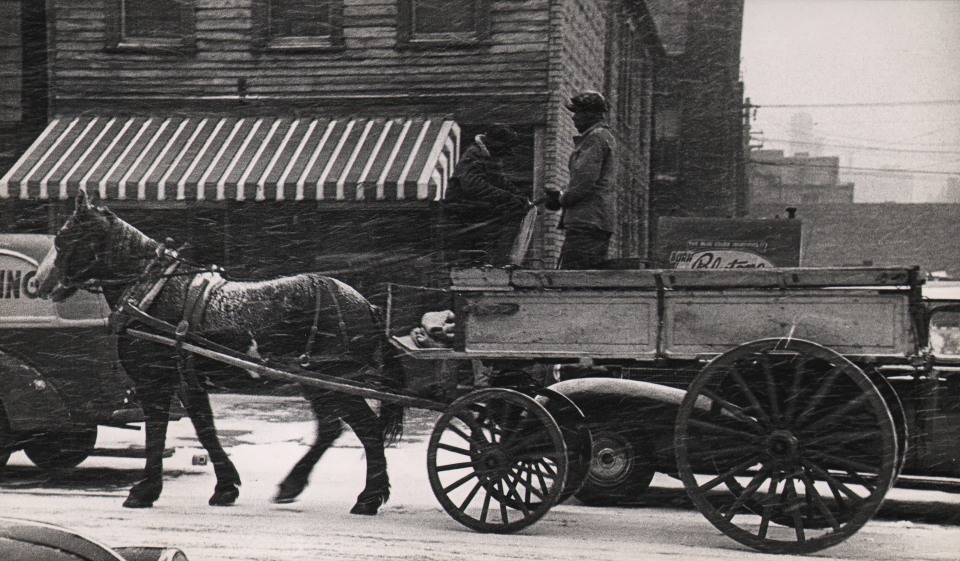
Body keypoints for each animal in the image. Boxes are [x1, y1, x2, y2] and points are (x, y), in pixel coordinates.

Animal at [36, 190, 404, 516]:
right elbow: (205, 429)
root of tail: (365, 304)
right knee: (330, 428)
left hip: (335, 378)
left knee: (368, 429)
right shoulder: (189, 381)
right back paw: (293, 485)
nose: (39, 283)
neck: (153, 291)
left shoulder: (155, 381)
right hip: (314, 380)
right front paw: (226, 488)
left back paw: (369, 498)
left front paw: (144, 492)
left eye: (64, 238)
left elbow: (157, 433)